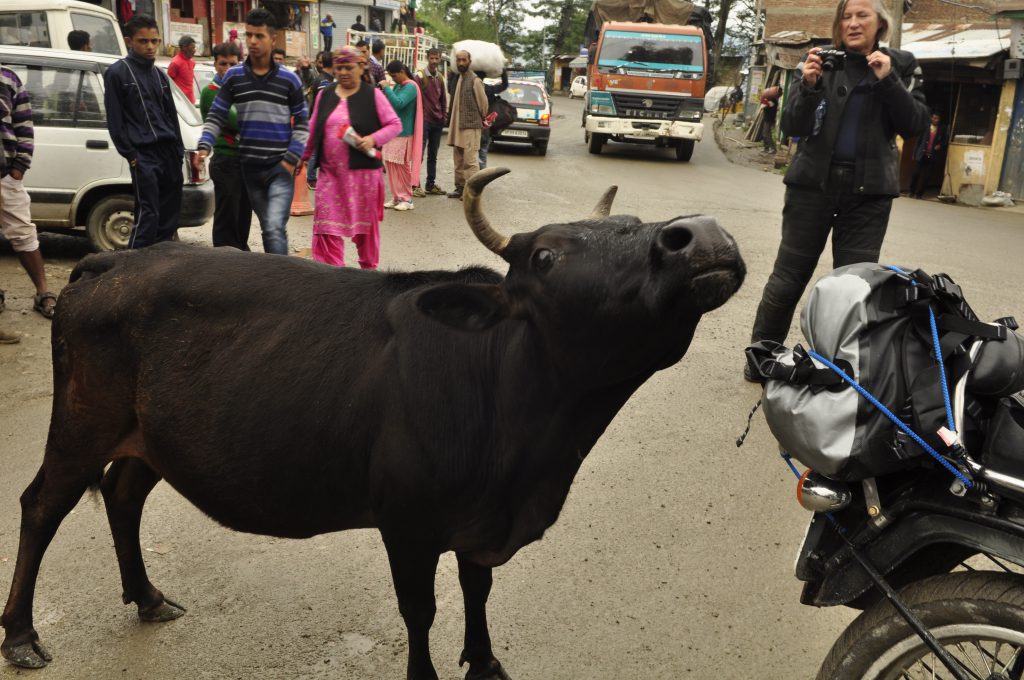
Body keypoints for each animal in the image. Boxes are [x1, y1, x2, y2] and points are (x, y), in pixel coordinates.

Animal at [0, 166, 741, 675]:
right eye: (545, 256)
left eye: (635, 221)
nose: (700, 234)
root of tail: (111, 259)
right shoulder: (406, 524)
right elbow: (421, 609)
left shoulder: (477, 525)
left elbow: (478, 586)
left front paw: (485, 661)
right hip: (81, 423)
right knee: (42, 505)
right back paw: (22, 636)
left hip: (150, 437)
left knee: (122, 495)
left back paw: (148, 596)